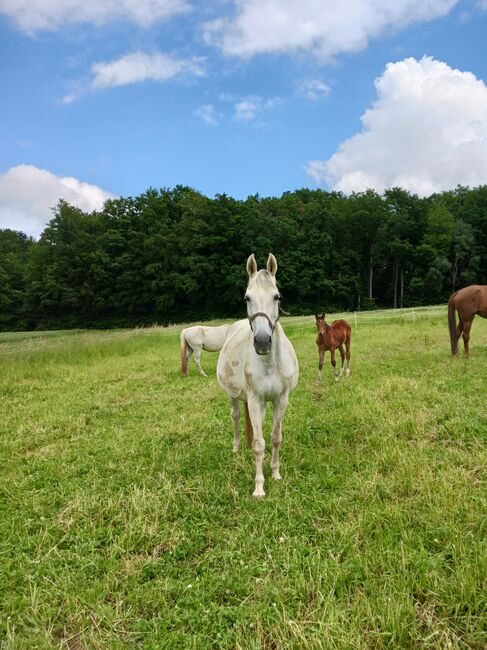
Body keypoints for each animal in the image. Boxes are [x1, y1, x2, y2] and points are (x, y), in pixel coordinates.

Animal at [218, 253, 302, 496]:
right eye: (247, 298)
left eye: (277, 296)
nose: (263, 342)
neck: (269, 363)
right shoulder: (255, 399)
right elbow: (258, 444)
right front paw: (258, 487)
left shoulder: (281, 399)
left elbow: (274, 438)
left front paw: (275, 473)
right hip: (234, 396)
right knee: (236, 417)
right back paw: (237, 447)